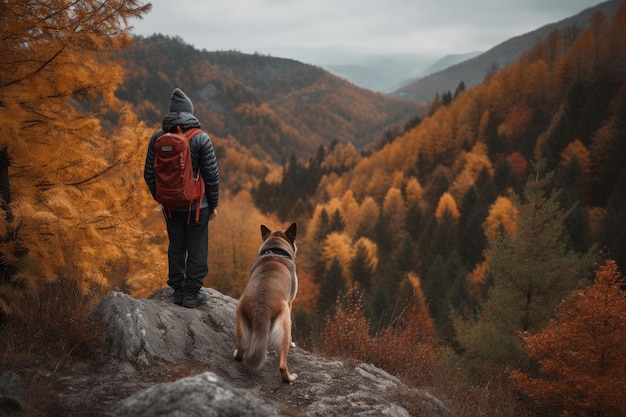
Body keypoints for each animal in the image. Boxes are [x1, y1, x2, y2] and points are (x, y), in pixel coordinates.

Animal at [234, 223, 298, 382]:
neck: (276, 251)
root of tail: (261, 308)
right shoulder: (290, 303)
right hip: (284, 325)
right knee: (282, 365)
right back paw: (289, 378)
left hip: (241, 326)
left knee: (241, 352)